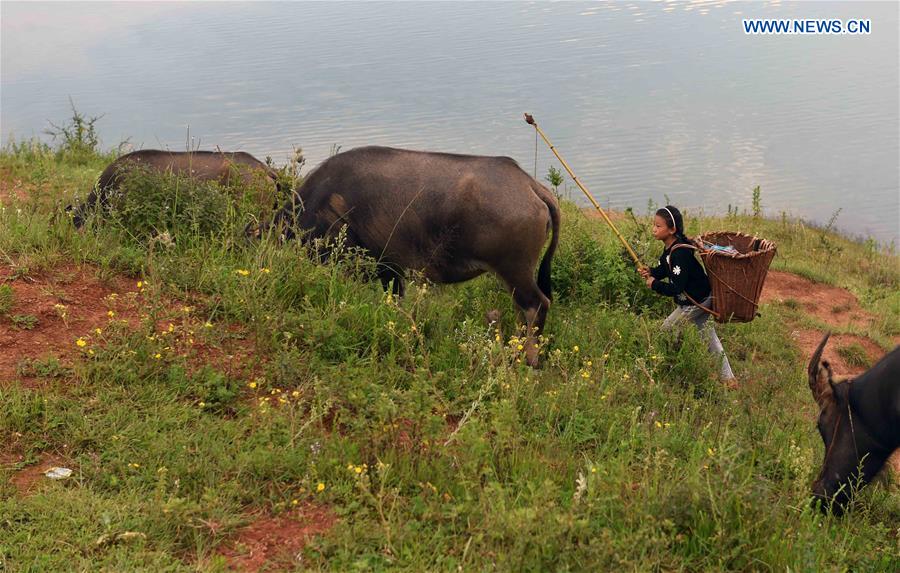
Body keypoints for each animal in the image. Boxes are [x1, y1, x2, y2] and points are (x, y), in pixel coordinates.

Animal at [256, 145, 560, 364]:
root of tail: (530, 187)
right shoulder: (392, 271)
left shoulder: (384, 268)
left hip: (514, 270)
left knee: (536, 305)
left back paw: (528, 359)